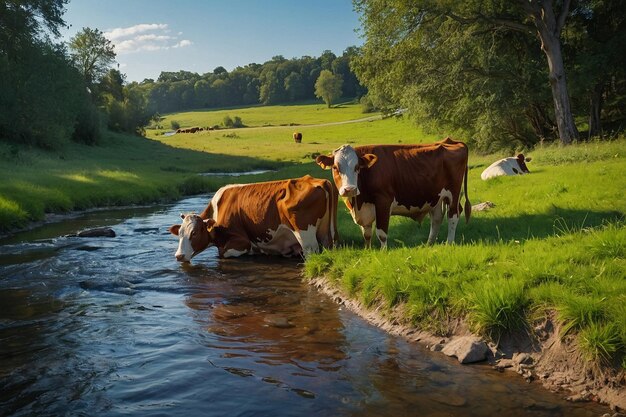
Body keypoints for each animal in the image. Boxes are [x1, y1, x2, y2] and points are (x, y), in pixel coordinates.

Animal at [167, 175, 336, 260]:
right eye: (179, 234)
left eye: (194, 233)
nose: (179, 256)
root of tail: (317, 180)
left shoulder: (242, 240)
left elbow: (223, 253)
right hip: (326, 234)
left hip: (305, 235)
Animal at [314, 136, 470, 247]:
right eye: (335, 167)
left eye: (357, 167)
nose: (349, 189)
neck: (358, 203)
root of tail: (451, 142)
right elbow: (367, 234)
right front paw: (368, 250)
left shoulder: (383, 201)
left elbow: (381, 233)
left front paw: (383, 253)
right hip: (435, 197)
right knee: (436, 218)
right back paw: (429, 244)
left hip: (453, 193)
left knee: (453, 216)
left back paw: (449, 243)